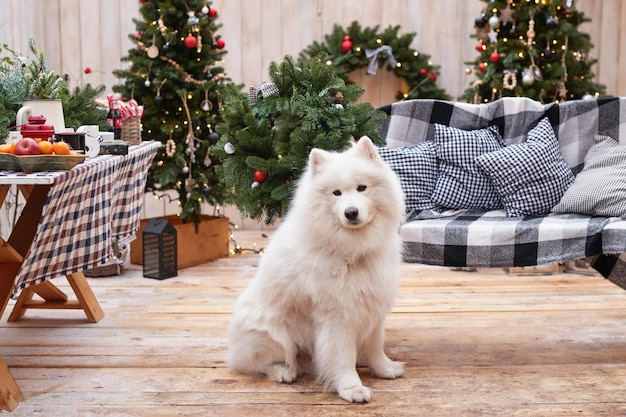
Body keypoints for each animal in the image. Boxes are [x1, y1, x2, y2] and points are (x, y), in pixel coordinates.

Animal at [228, 136, 404, 400]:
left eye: (362, 188)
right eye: (336, 193)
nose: (351, 212)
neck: (352, 250)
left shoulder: (373, 304)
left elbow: (375, 346)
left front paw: (384, 369)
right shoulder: (337, 315)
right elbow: (342, 356)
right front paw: (351, 388)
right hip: (274, 334)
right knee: (259, 363)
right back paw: (283, 372)